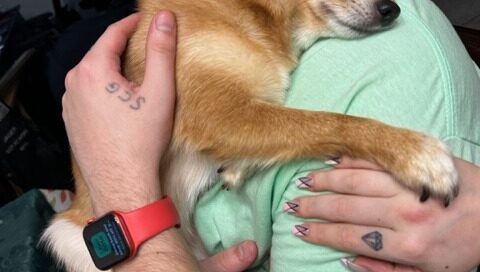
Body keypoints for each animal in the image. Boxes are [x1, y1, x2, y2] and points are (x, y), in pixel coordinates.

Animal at [43, 0, 460, 270]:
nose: (393, 9)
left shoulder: (247, 114)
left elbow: (293, 131)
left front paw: (236, 168)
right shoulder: (221, 114)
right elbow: (329, 122)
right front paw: (415, 153)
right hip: (67, 237)